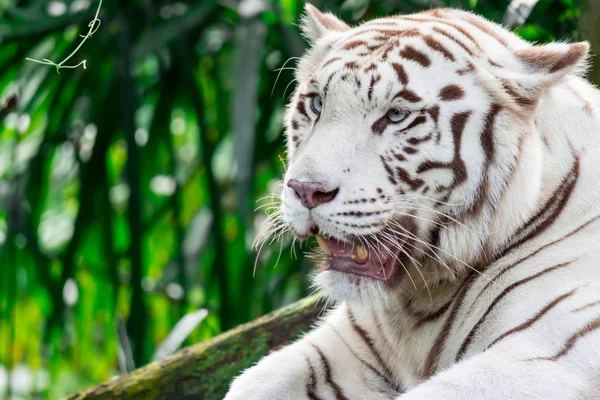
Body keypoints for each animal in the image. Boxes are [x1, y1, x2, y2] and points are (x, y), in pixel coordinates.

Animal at [224, 3, 600, 400]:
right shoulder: (349, 345)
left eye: (396, 115)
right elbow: (257, 381)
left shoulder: (546, 355)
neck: (418, 305)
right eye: (317, 103)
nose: (306, 190)